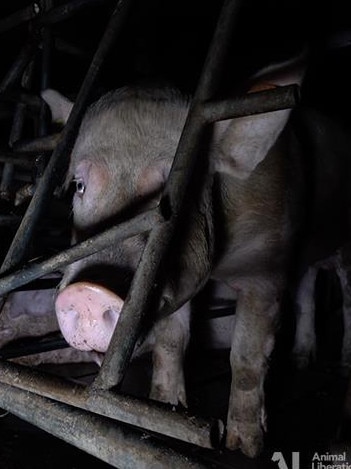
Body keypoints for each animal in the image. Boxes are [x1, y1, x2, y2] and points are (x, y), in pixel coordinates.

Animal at [40, 56, 306, 456]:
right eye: (80, 186)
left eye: (175, 197)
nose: (88, 292)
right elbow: (171, 340)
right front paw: (166, 411)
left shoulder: (266, 266)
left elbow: (246, 354)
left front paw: (243, 448)